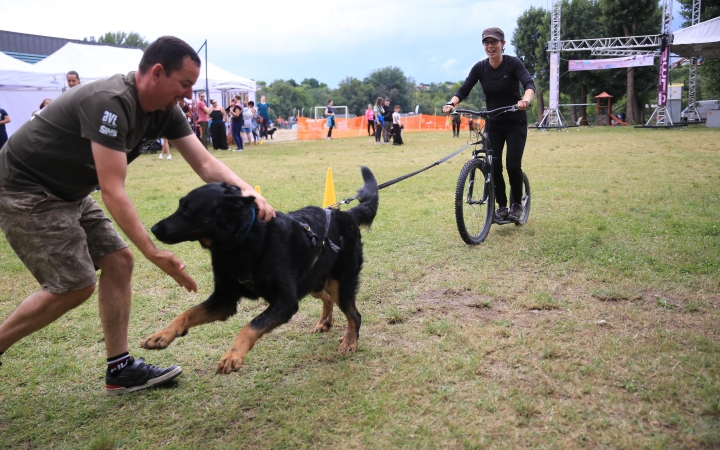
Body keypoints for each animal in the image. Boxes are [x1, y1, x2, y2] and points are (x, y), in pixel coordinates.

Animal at [139, 165, 376, 372]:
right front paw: (163, 335)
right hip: (312, 281)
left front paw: (233, 356)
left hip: (339, 283)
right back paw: (325, 322)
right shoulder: (224, 301)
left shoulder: (286, 301)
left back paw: (350, 342)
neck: (241, 240)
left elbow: (251, 325)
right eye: (180, 205)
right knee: (327, 297)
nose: (154, 229)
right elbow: (187, 312)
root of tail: (346, 214)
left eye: (188, 209)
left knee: (354, 314)